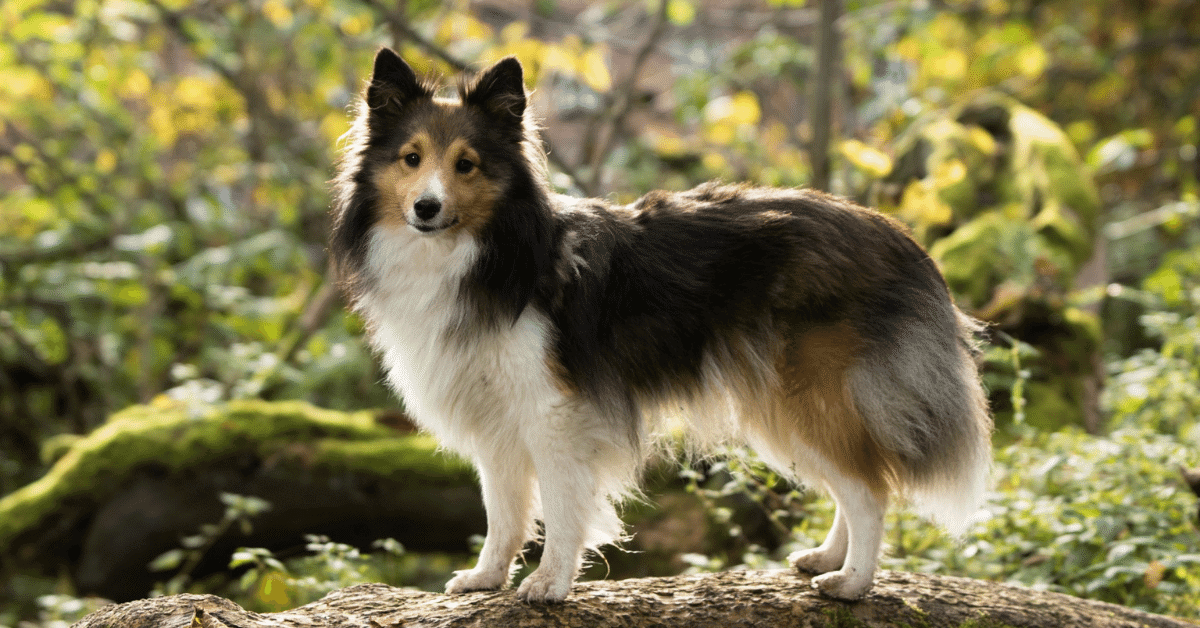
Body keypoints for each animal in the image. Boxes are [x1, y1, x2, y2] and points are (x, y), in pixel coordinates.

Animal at [331, 48, 993, 600]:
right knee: (851, 482)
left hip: (809, 394)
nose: (427, 208)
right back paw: (828, 559)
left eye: (466, 165)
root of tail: (898, 236)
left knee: (870, 488)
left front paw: (549, 584)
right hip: (784, 405)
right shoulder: (495, 417)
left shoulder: (553, 413)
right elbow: (504, 511)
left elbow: (561, 508)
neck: (490, 253)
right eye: (411, 159)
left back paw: (852, 583)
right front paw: (486, 578)